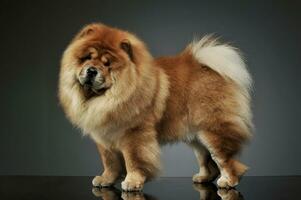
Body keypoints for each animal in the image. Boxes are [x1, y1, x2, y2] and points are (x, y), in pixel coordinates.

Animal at [58, 22, 251, 191]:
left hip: (211, 131)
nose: (92, 70)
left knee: (226, 159)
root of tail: (208, 67)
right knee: (207, 159)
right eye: (87, 58)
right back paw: (202, 177)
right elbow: (110, 162)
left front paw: (132, 182)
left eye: (107, 64)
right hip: (196, 136)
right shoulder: (104, 138)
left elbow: (133, 160)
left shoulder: (134, 135)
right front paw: (105, 180)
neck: (106, 100)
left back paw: (227, 181)